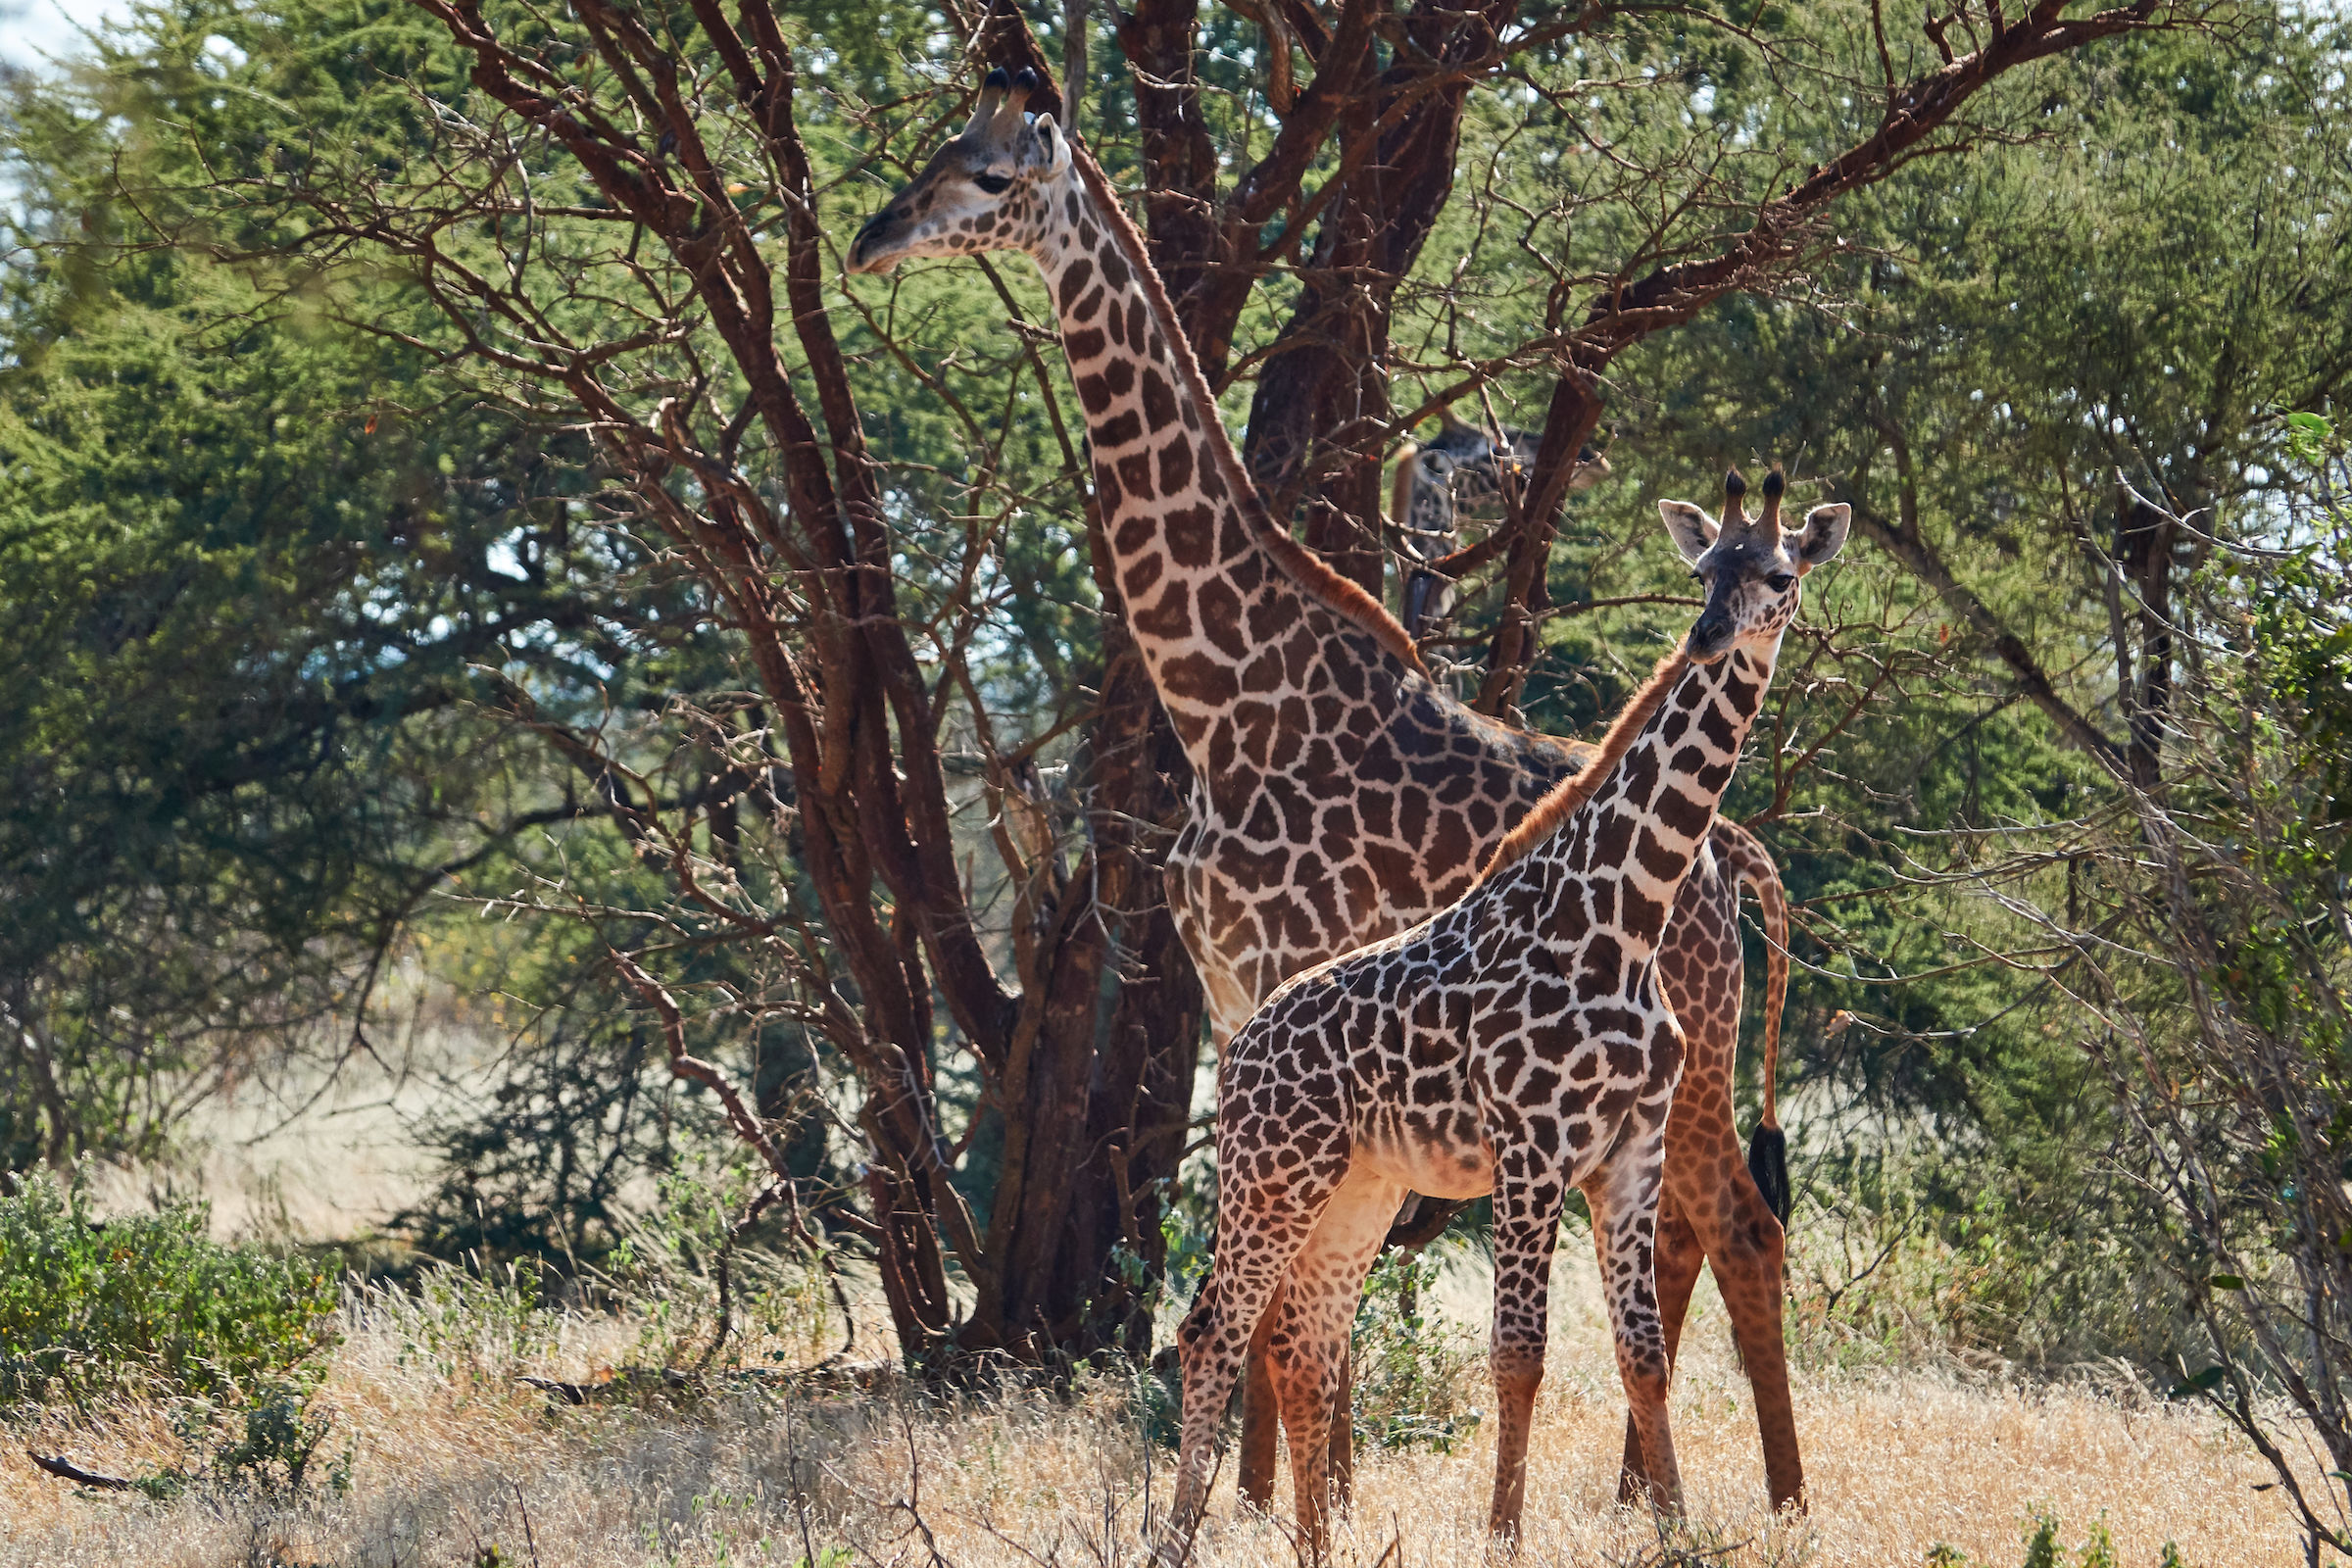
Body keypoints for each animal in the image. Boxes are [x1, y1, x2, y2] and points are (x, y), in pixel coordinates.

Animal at [1168, 469, 1847, 1554]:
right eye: (1705, 568)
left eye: (1779, 575)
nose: (1709, 635)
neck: (1626, 914)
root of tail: (1239, 1050)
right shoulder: (1531, 1145)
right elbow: (1518, 1353)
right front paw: (1502, 1537)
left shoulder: (1629, 1147)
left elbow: (1641, 1354)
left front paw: (1677, 1533)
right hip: (1272, 1174)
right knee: (1211, 1332)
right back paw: (1176, 1539)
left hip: (1357, 1187)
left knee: (1306, 1342)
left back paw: (1318, 1547)